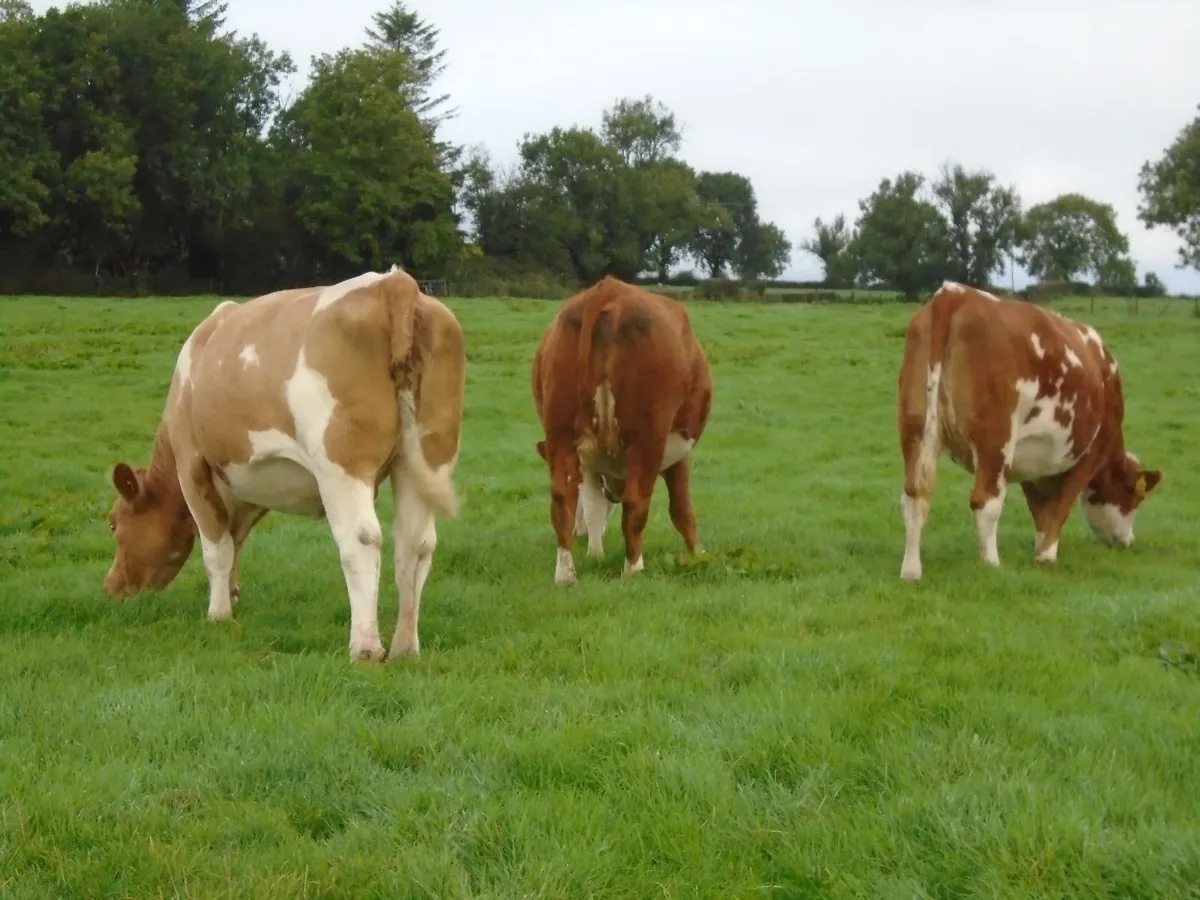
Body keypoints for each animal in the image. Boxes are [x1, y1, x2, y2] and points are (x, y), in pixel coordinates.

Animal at [103, 266, 465, 662]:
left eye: (114, 523)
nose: (111, 587)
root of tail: (393, 283)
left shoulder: (191, 463)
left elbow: (216, 547)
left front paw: (218, 614)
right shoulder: (248, 483)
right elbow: (235, 539)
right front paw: (232, 596)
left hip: (341, 464)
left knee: (362, 540)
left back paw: (366, 647)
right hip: (422, 460)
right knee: (416, 545)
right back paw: (404, 647)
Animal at [531, 276, 713, 585]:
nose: (579, 534)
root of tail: (608, 289)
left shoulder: (589, 464)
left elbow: (591, 505)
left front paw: (595, 553)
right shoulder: (678, 454)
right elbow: (682, 510)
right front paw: (697, 556)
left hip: (560, 431)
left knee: (561, 498)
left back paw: (566, 575)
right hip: (649, 435)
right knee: (636, 502)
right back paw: (633, 568)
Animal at [896, 280, 1162, 580]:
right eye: (1134, 499)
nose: (1127, 542)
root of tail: (956, 293)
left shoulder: (1030, 463)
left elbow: (1041, 509)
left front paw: (1040, 547)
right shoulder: (1090, 454)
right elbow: (1061, 506)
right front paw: (1046, 555)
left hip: (915, 430)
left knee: (914, 496)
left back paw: (911, 570)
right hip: (995, 442)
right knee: (985, 502)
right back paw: (991, 564)